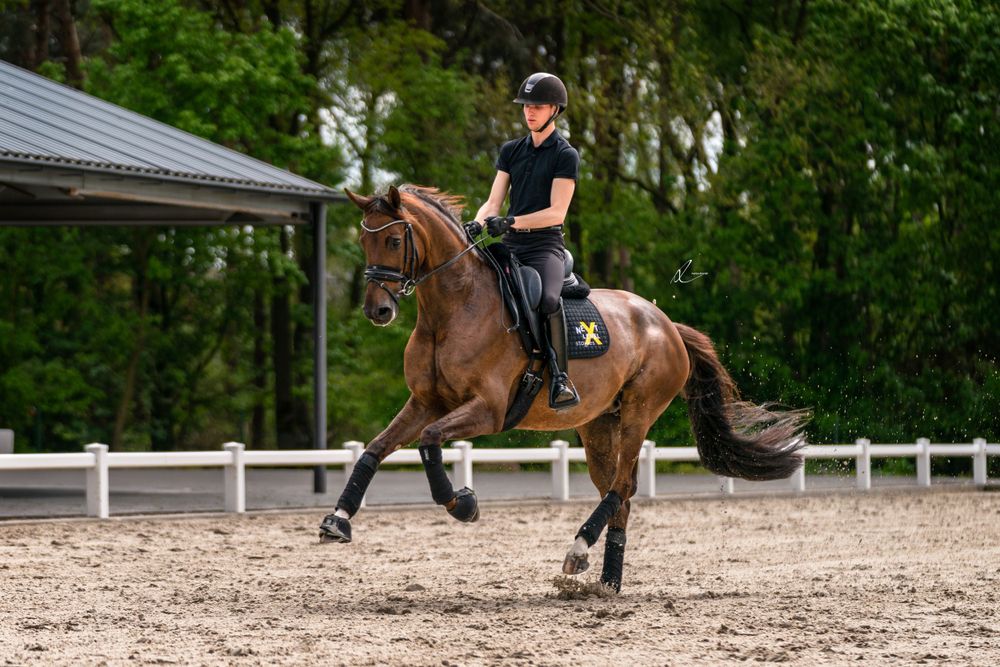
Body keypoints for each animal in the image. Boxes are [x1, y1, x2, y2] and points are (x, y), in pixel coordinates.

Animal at [319, 184, 808, 593]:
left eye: (394, 241)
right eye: (363, 241)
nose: (377, 311)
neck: (453, 308)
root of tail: (666, 324)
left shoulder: (488, 410)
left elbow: (430, 439)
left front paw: (462, 503)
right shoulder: (425, 402)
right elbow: (375, 449)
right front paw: (337, 520)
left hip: (639, 411)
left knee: (622, 485)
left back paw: (578, 550)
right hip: (597, 425)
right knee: (618, 492)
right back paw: (607, 582)